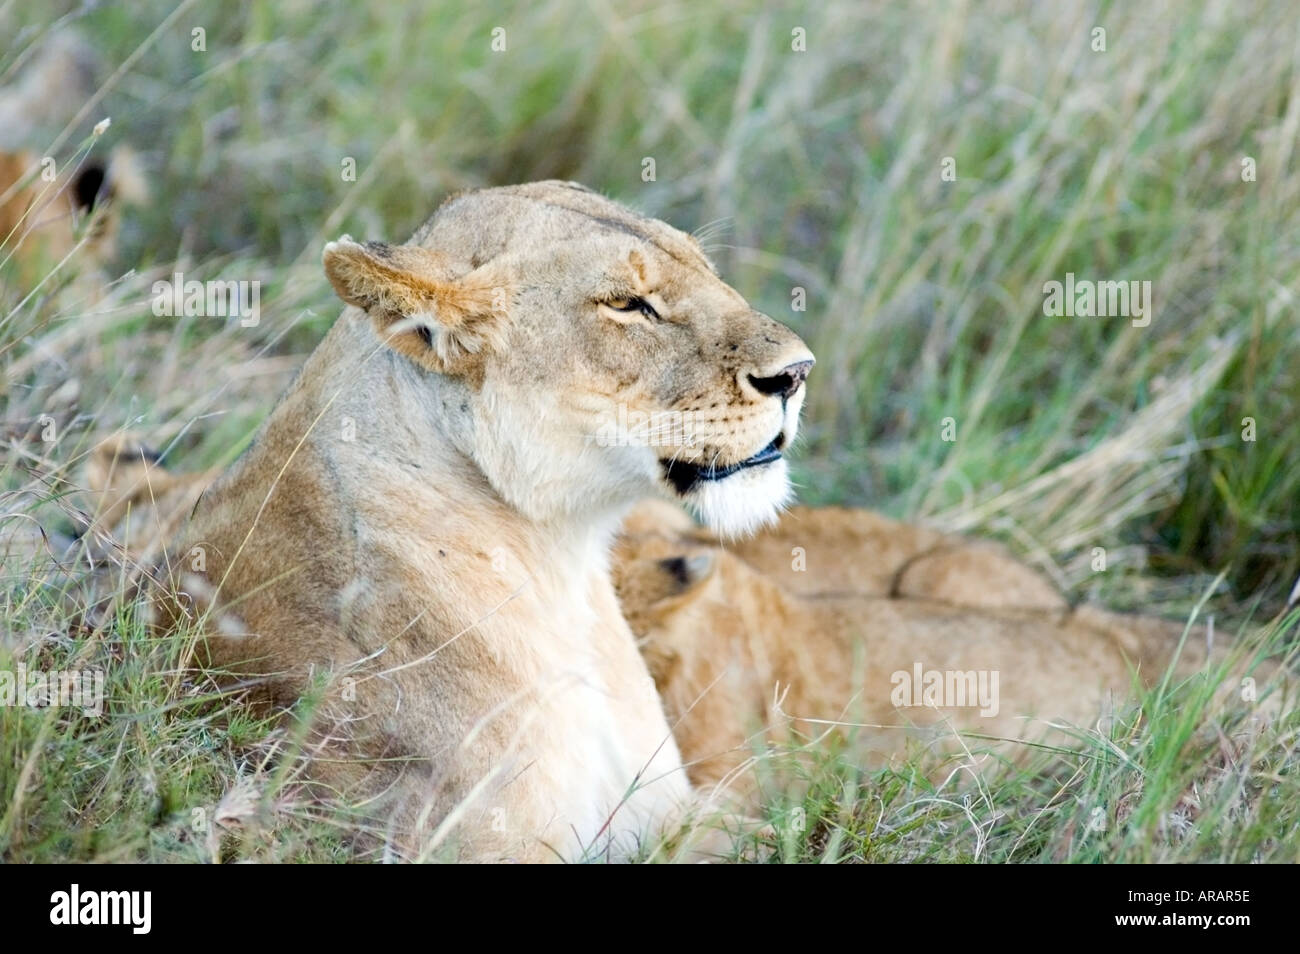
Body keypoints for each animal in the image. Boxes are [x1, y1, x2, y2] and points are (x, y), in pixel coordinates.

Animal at [160, 181, 815, 862]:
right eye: (628, 305)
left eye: (707, 269)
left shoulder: (673, 818)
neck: (563, 564)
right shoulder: (476, 845)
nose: (797, 374)